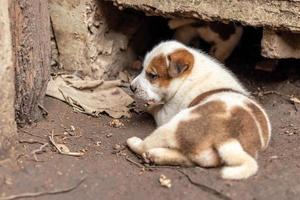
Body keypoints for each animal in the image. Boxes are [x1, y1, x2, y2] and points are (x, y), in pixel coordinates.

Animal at [127, 40, 270, 180]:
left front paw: (147, 106)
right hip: (202, 155)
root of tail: (227, 138)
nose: (131, 87)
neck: (188, 75)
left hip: (174, 125)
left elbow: (155, 107)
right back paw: (155, 155)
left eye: (152, 75)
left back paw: (135, 143)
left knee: (145, 145)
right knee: (187, 159)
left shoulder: (167, 113)